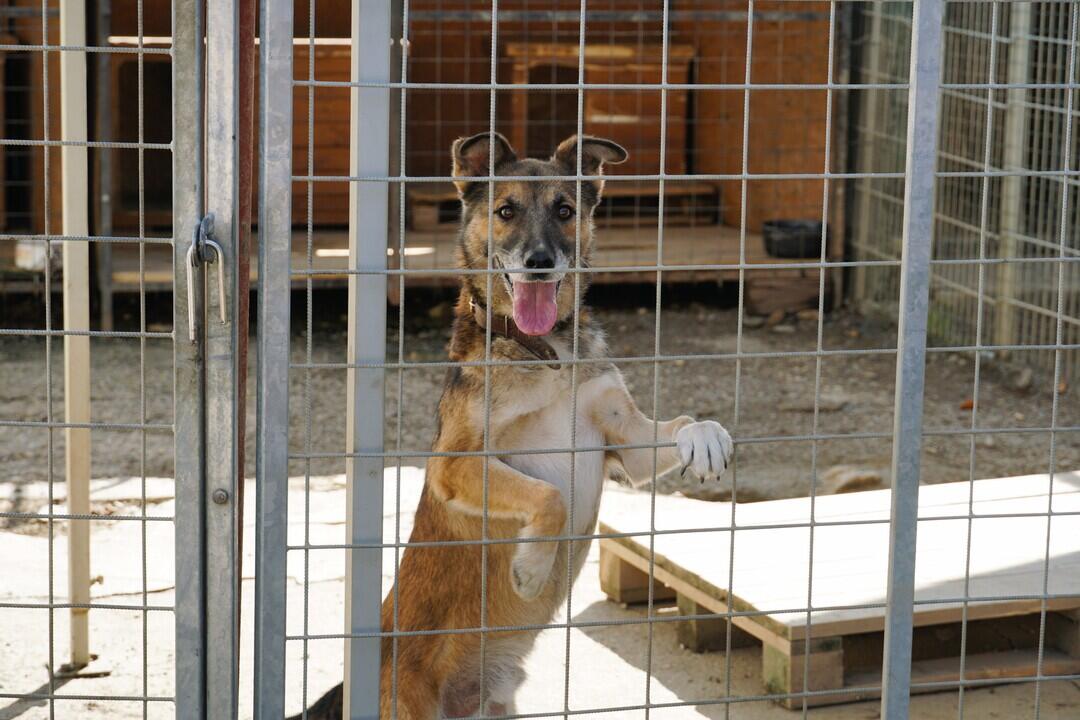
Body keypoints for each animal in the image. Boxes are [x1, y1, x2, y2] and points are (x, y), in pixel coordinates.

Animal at [291, 132, 734, 716]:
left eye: (565, 211)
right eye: (505, 211)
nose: (540, 262)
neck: (544, 353)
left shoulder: (628, 444)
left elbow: (683, 423)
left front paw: (706, 439)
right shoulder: (455, 465)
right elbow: (551, 497)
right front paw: (531, 570)